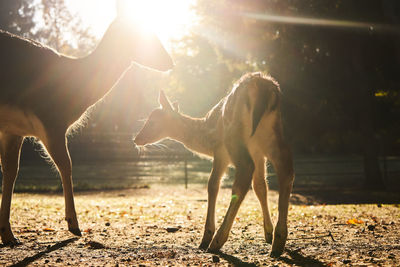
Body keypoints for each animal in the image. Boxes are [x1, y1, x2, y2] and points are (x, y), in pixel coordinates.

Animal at [0, 13, 173, 246]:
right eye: (148, 36)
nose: (170, 61)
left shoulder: (14, 130)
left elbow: (11, 171)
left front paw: (8, 235)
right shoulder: (51, 122)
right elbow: (66, 165)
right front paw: (74, 226)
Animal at [136, 72, 296, 256]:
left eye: (153, 120)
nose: (136, 139)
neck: (206, 136)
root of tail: (264, 87)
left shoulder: (220, 152)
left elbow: (212, 185)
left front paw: (205, 237)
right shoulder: (258, 153)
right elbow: (260, 187)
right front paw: (268, 233)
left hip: (232, 137)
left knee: (244, 172)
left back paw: (217, 241)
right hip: (272, 134)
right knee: (286, 169)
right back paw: (278, 241)